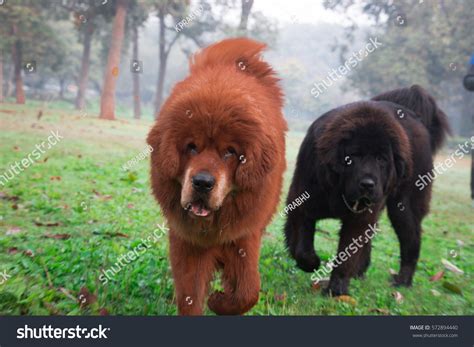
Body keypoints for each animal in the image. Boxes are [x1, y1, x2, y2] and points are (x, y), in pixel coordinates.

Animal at [146, 38, 286, 316]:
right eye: (191, 147)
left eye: (230, 152)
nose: (202, 183)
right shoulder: (186, 241)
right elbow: (189, 294)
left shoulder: (244, 235)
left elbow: (247, 292)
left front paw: (218, 301)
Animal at [284, 85, 450, 294]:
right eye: (353, 157)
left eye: (381, 159)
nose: (368, 184)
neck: (340, 191)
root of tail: (417, 117)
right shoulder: (301, 202)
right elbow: (302, 245)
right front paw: (311, 263)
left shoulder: (358, 220)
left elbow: (346, 254)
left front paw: (336, 290)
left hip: (403, 209)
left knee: (411, 243)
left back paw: (402, 280)